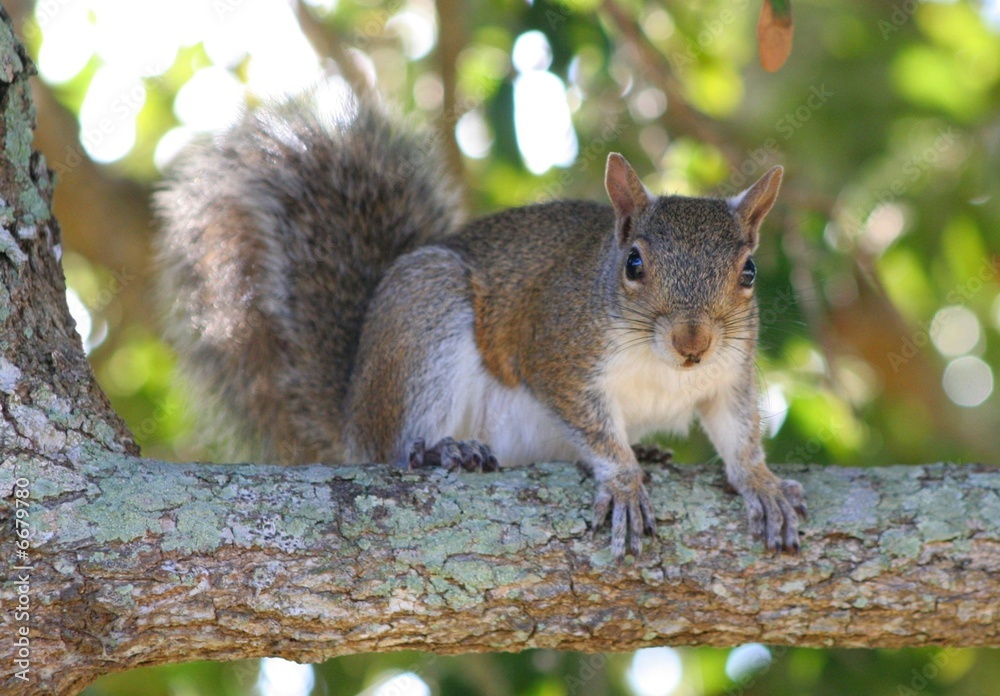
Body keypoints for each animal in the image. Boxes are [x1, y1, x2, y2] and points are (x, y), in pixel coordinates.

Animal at [155, 87, 806, 559]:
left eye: (748, 272)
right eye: (635, 263)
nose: (693, 341)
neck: (662, 366)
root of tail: (352, 410)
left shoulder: (728, 374)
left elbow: (738, 432)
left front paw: (762, 484)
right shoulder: (558, 350)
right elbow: (592, 426)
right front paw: (623, 482)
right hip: (424, 318)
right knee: (389, 448)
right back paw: (440, 451)